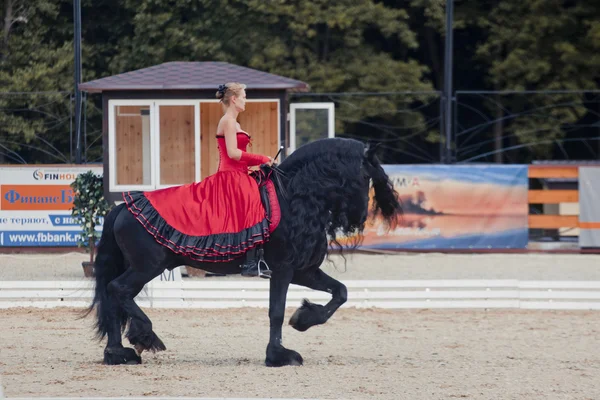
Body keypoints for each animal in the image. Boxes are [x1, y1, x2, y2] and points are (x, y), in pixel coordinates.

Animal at [84, 137, 400, 366]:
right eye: (365, 176)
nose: (360, 217)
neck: (295, 197)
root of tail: (123, 207)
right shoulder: (283, 269)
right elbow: (276, 312)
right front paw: (278, 356)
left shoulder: (304, 271)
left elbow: (340, 293)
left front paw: (303, 319)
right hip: (147, 267)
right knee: (117, 290)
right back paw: (145, 337)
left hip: (142, 268)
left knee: (117, 297)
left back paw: (119, 352)